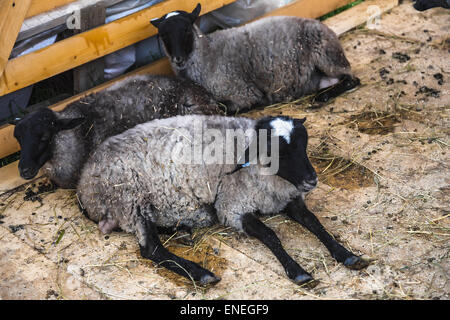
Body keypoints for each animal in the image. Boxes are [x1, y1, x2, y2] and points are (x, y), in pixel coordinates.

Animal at [76, 114, 370, 286]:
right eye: (278, 151)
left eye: (303, 144)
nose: (311, 180)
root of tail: (83, 184)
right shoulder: (232, 207)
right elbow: (270, 235)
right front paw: (297, 270)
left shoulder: (288, 198)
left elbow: (315, 223)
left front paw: (346, 254)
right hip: (131, 201)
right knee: (152, 250)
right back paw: (202, 274)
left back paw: (182, 230)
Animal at [149, 4, 360, 112]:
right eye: (162, 35)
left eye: (186, 29)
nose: (178, 59)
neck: (207, 53)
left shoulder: (243, 93)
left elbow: (228, 108)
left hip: (328, 56)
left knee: (352, 79)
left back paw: (322, 97)